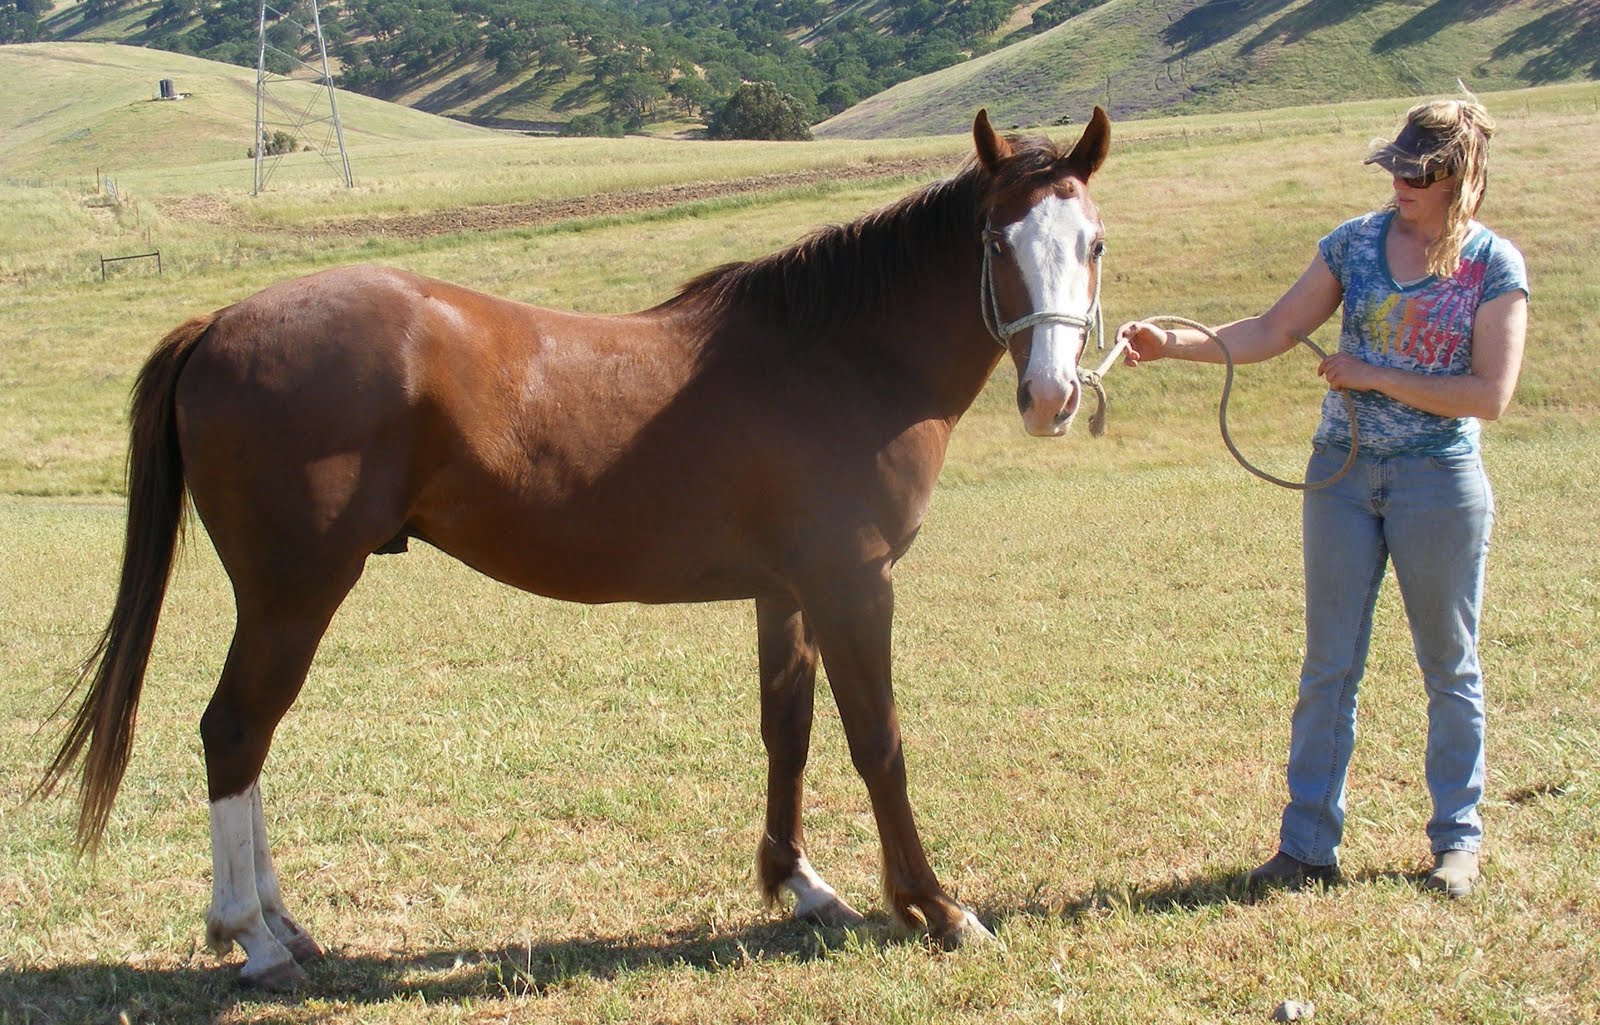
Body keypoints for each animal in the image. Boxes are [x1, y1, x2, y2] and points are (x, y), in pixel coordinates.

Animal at [38, 107, 1111, 989]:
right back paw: (252, 936)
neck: (838, 357)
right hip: (292, 593)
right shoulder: (854, 585)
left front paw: (798, 883)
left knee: (247, 737)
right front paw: (937, 907)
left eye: (1092, 241)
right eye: (998, 240)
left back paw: (281, 925)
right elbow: (879, 743)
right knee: (235, 731)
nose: (1052, 396)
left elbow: (789, 732)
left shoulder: (788, 592)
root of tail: (221, 321)